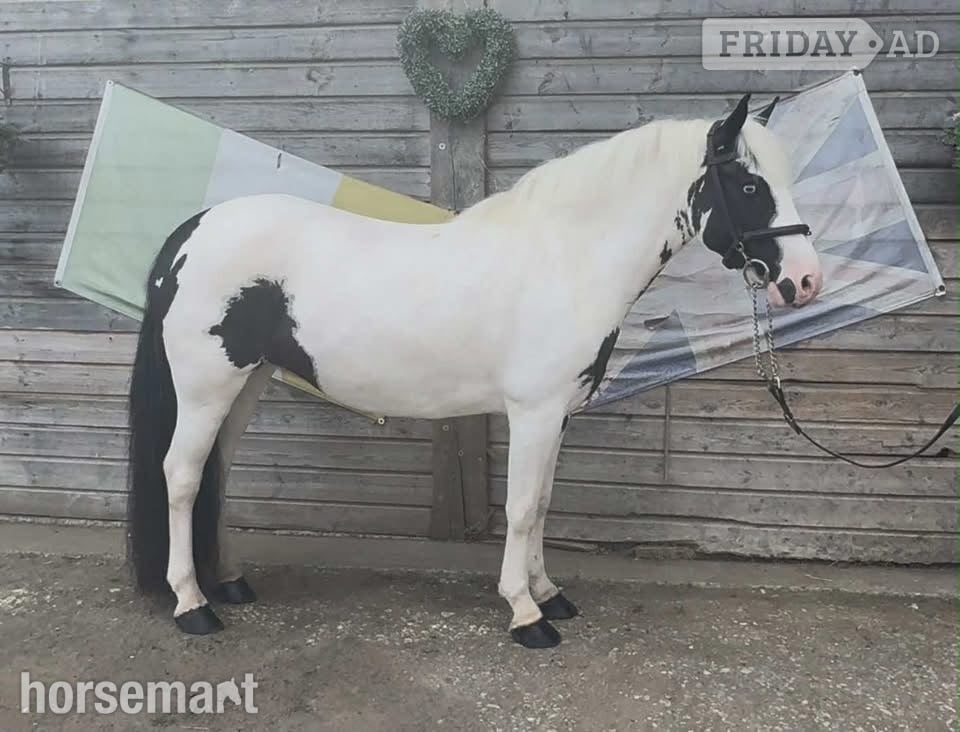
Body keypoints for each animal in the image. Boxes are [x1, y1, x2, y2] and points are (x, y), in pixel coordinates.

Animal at [126, 93, 823, 649]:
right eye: (751, 187)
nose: (806, 281)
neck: (565, 258)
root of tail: (192, 233)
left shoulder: (557, 413)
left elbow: (542, 503)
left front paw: (549, 593)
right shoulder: (533, 411)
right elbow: (520, 507)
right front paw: (525, 614)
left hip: (244, 384)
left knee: (216, 472)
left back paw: (230, 582)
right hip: (207, 386)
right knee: (182, 475)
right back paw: (193, 604)